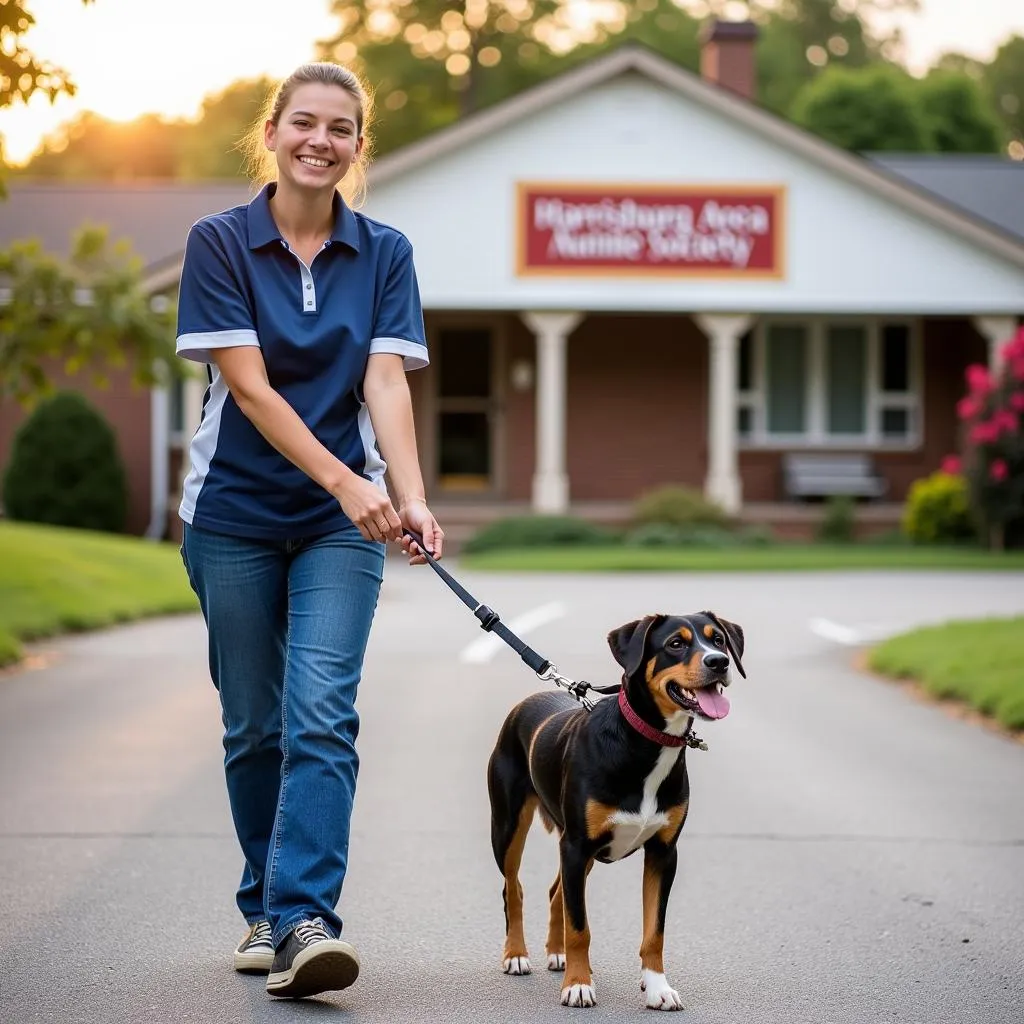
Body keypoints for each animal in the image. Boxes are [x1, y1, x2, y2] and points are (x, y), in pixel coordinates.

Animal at [487, 610, 745, 1011]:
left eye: (717, 640)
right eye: (676, 644)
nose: (718, 662)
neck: (646, 743)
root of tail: (529, 699)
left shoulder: (662, 853)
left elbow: (654, 931)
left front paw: (657, 987)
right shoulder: (577, 846)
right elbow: (580, 928)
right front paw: (579, 985)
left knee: (557, 893)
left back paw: (557, 953)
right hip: (509, 827)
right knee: (513, 889)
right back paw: (517, 955)